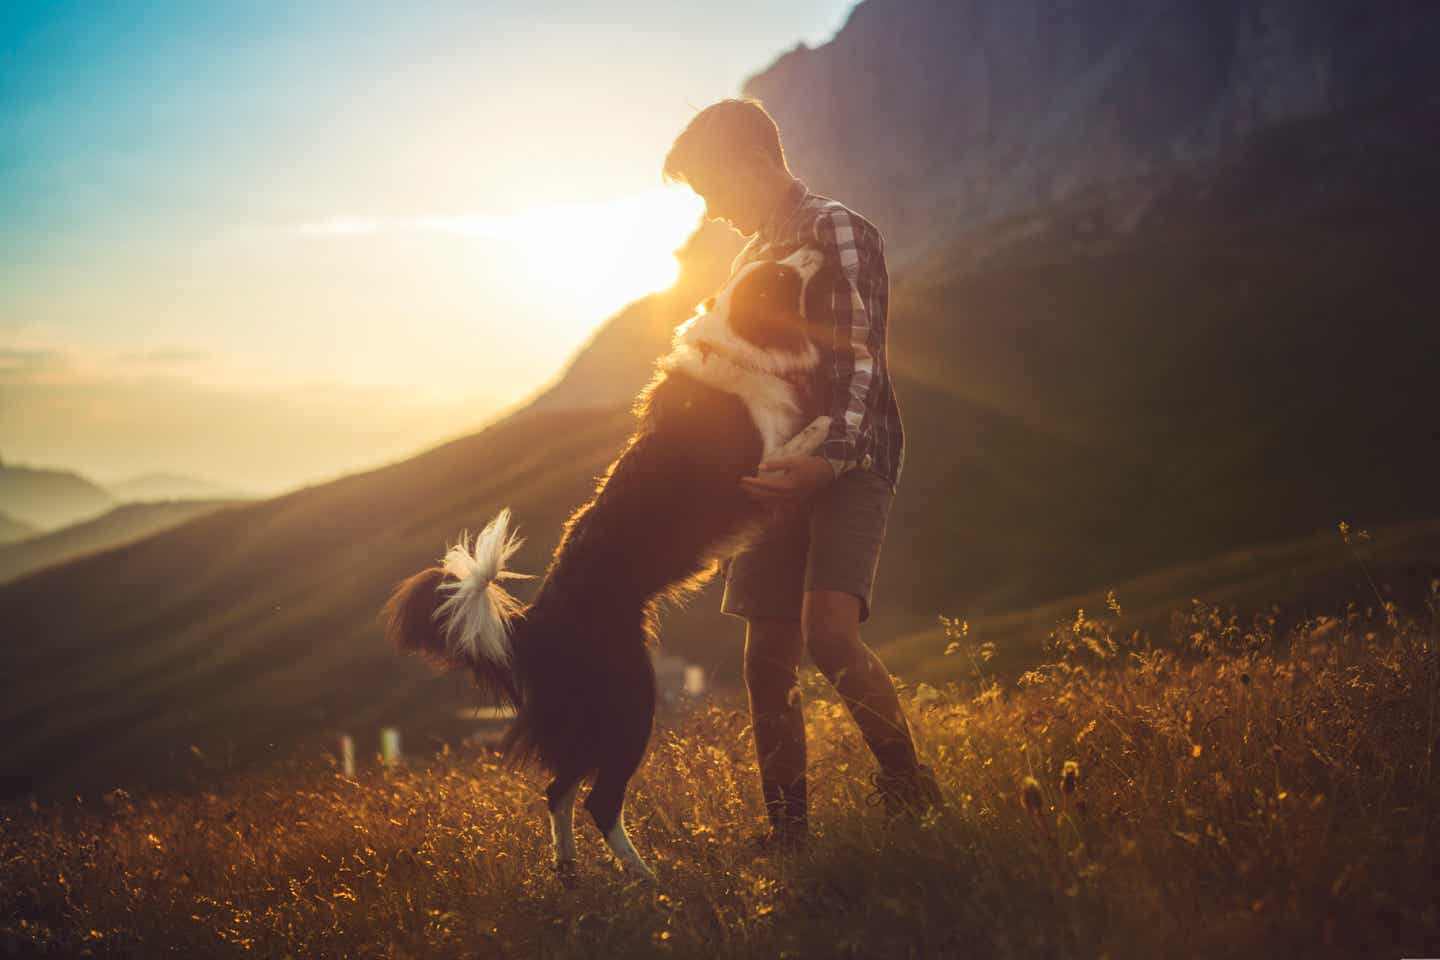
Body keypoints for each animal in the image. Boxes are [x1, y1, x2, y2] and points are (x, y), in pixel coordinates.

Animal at [383, 246, 835, 880]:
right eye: (780, 277)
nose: (814, 248)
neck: (737, 341)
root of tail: (532, 625)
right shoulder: (757, 475)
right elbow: (802, 439)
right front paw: (827, 421)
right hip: (632, 704)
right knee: (599, 799)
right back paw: (648, 878)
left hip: (590, 721)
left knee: (557, 791)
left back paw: (572, 874)